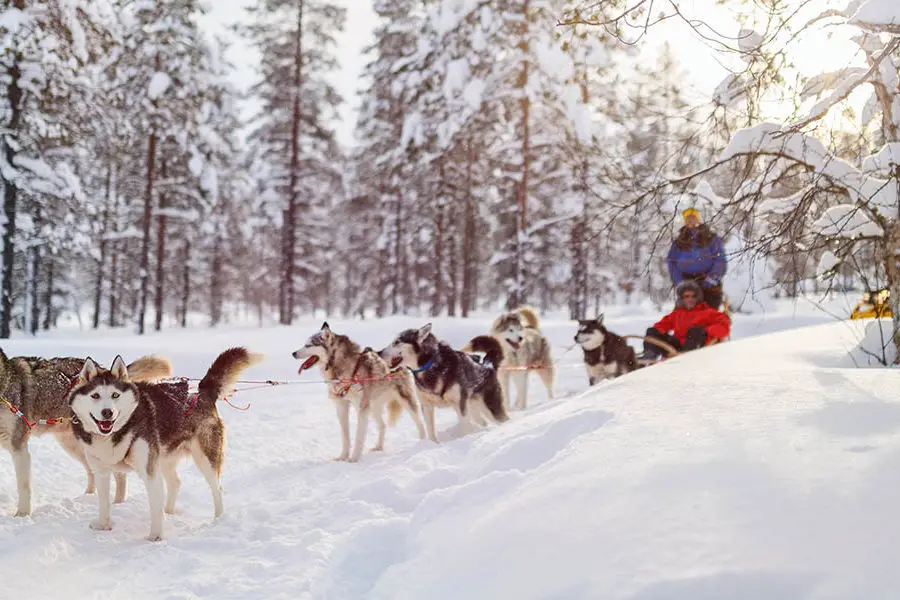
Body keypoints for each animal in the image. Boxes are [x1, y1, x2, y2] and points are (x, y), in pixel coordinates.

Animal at [0, 352, 172, 516]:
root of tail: (103, 369)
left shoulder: (18, 447)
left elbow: (23, 486)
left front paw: (22, 515)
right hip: (75, 446)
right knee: (92, 470)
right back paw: (88, 496)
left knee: (119, 476)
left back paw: (117, 503)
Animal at [68, 346, 262, 540]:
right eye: (95, 395)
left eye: (115, 395)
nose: (107, 412)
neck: (118, 431)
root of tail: (202, 393)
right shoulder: (101, 472)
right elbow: (103, 503)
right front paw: (104, 525)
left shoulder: (149, 472)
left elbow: (154, 507)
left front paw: (155, 537)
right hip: (165, 458)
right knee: (175, 483)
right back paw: (168, 511)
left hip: (204, 458)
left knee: (217, 488)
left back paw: (218, 519)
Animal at [292, 326, 426, 462]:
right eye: (305, 344)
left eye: (308, 345)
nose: (293, 353)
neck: (340, 364)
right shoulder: (341, 406)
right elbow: (345, 436)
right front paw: (343, 457)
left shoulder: (361, 408)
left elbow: (359, 436)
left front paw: (354, 458)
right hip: (373, 407)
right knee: (382, 425)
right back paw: (378, 447)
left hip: (405, 401)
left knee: (420, 423)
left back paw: (422, 442)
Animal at [378, 324, 510, 440]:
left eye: (397, 342)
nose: (378, 352)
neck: (432, 365)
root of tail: (488, 366)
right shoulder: (427, 406)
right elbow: (431, 433)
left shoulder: (459, 405)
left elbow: (465, 428)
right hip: (473, 409)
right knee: (482, 421)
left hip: (491, 410)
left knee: (503, 419)